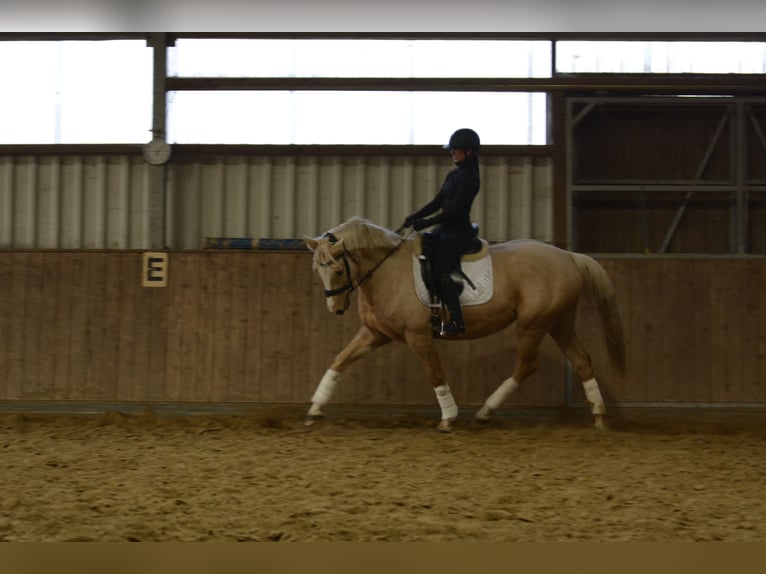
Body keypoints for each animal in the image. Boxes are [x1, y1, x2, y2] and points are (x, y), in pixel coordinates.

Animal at [304, 216, 626, 432]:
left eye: (336, 269)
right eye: (317, 270)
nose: (335, 308)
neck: (387, 270)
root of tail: (569, 256)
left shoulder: (419, 336)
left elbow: (435, 374)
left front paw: (448, 418)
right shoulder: (375, 333)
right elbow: (339, 361)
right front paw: (315, 408)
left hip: (533, 324)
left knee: (527, 365)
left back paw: (485, 411)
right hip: (559, 323)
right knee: (581, 360)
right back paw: (599, 416)